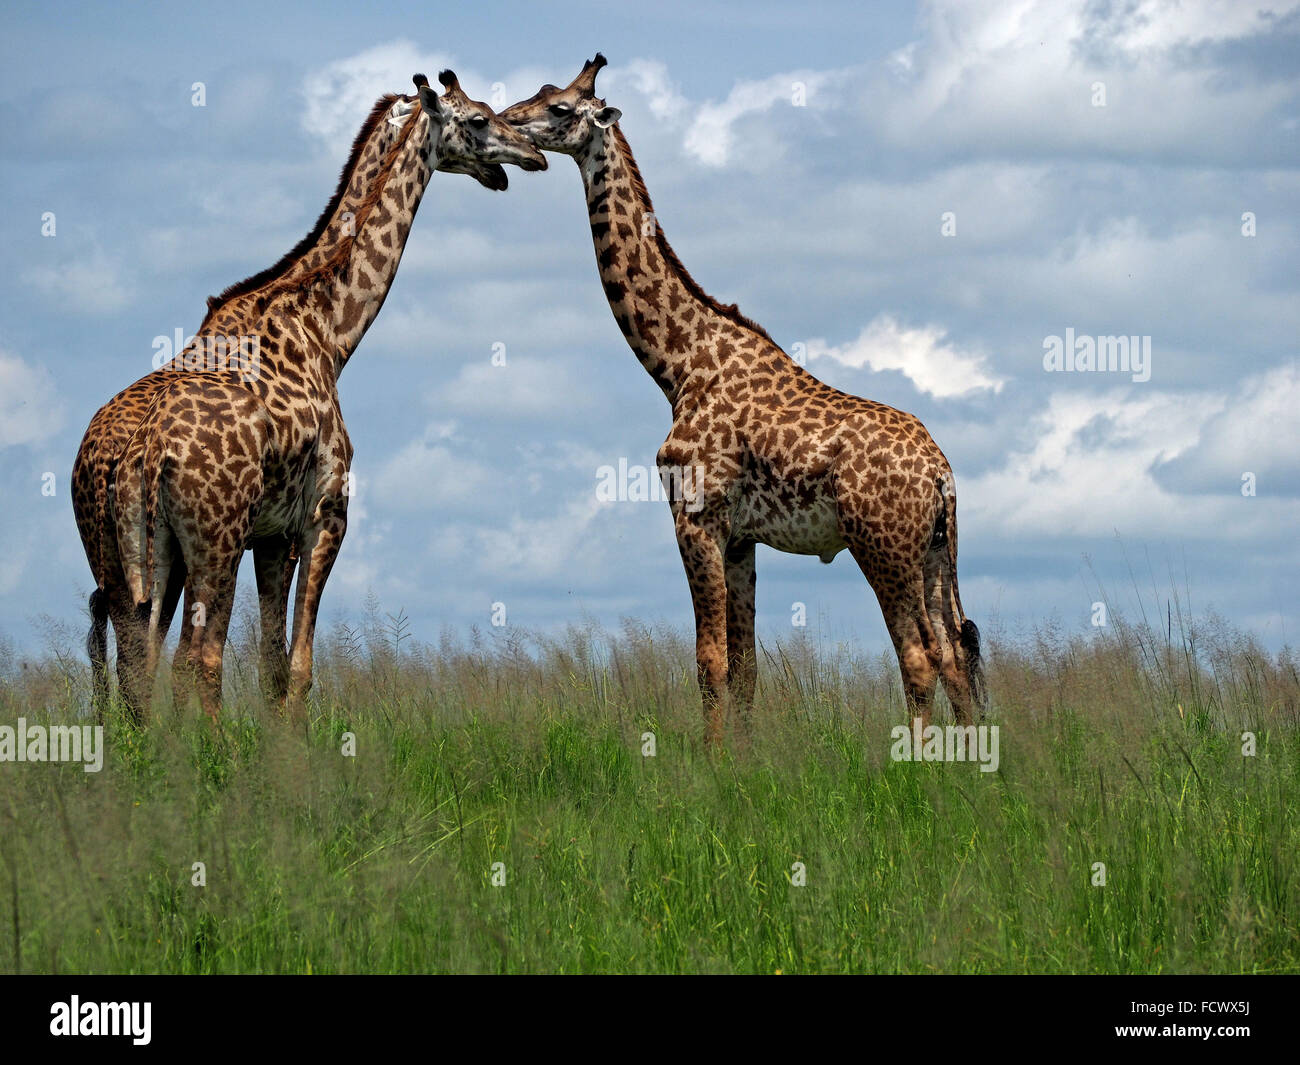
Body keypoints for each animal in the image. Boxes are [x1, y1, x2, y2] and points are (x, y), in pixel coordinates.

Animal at [74, 72, 546, 723]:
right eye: (478, 118)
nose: (532, 155)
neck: (330, 332)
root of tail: (138, 451)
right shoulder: (324, 516)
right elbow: (298, 667)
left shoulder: (272, 535)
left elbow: (271, 666)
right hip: (213, 539)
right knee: (194, 658)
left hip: (137, 554)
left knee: (137, 666)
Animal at [504, 56, 986, 746]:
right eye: (542, 94)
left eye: (562, 108)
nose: (505, 123)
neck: (677, 363)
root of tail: (940, 474)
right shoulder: (741, 539)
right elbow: (744, 668)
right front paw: (742, 761)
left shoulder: (696, 515)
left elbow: (708, 663)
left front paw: (709, 763)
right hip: (934, 551)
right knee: (955, 653)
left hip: (882, 546)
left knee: (920, 657)